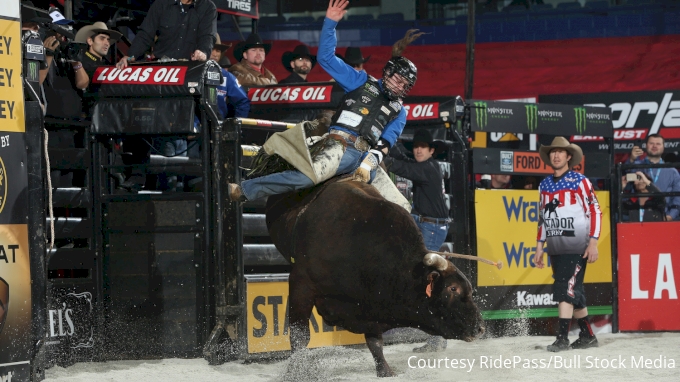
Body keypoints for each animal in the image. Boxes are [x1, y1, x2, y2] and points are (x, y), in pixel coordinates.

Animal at [266, 178, 488, 376]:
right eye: (453, 288)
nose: (480, 328)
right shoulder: (301, 283)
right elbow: (300, 335)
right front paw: (297, 371)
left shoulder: (371, 304)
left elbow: (375, 342)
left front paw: (384, 371)